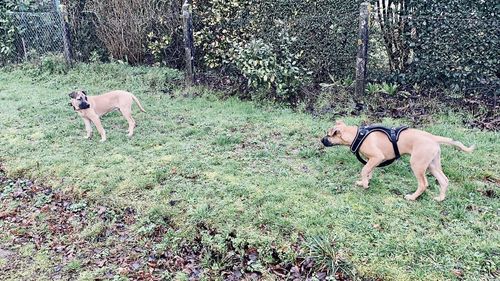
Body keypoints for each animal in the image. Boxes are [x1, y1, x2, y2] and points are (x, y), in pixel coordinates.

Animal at [322, 119, 474, 200]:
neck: (357, 135)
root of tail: (433, 137)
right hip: (432, 165)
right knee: (444, 180)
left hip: (417, 164)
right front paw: (364, 182)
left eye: (328, 135)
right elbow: (369, 171)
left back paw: (412, 197)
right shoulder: (372, 160)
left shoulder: (377, 157)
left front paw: (365, 184)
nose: (321, 140)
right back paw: (440, 198)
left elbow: (364, 170)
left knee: (423, 184)